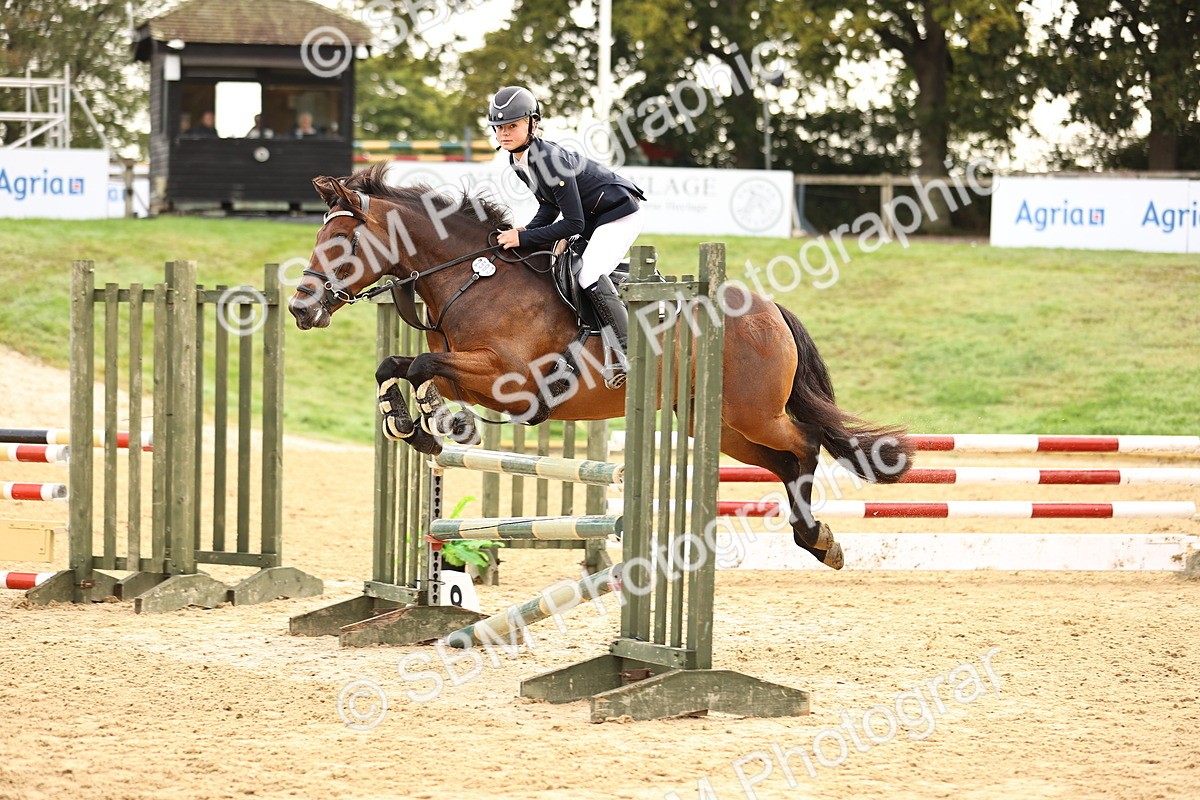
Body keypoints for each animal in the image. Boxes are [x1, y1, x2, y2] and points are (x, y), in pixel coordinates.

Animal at [288, 162, 915, 569]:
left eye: (340, 243)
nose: (299, 308)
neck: (474, 276)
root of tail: (770, 309)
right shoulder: (472, 371)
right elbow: (396, 364)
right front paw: (413, 422)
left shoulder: (513, 382)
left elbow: (417, 363)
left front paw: (435, 421)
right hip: (713, 423)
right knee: (783, 461)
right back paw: (819, 540)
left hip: (753, 412)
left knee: (805, 445)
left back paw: (817, 539)